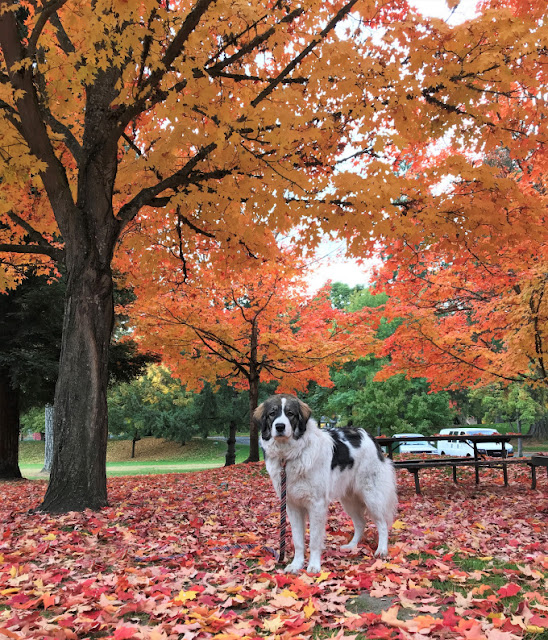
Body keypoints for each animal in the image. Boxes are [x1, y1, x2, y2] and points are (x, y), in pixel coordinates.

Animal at [255, 392, 396, 572]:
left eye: (290, 413)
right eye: (272, 413)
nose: (279, 426)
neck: (288, 455)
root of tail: (367, 434)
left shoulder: (317, 504)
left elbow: (314, 540)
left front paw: (314, 566)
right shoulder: (292, 506)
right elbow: (298, 540)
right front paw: (296, 564)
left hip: (372, 496)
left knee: (382, 523)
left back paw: (381, 550)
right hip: (349, 500)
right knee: (360, 523)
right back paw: (352, 546)